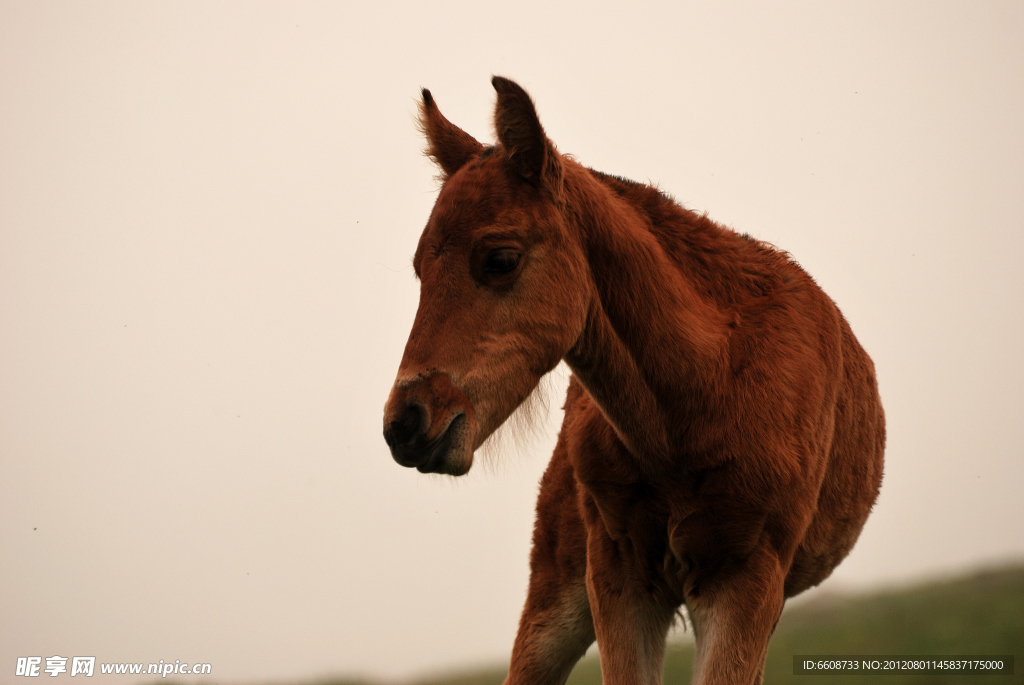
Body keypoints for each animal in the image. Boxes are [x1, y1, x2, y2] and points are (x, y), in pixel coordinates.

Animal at [380, 77, 884, 683]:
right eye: (419, 269)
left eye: (500, 259)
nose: (406, 424)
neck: (706, 393)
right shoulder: (620, 580)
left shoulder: (747, 581)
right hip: (557, 586)